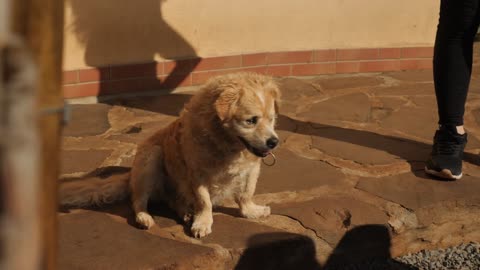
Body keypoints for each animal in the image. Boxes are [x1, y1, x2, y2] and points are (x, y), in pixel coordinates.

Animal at [60, 72, 280, 238]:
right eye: (251, 120)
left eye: (271, 119)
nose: (274, 142)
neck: (226, 143)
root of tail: (129, 175)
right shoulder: (197, 173)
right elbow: (204, 201)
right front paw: (203, 222)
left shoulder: (252, 169)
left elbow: (246, 193)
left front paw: (251, 212)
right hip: (151, 158)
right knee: (137, 200)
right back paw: (146, 217)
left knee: (173, 201)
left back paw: (186, 212)